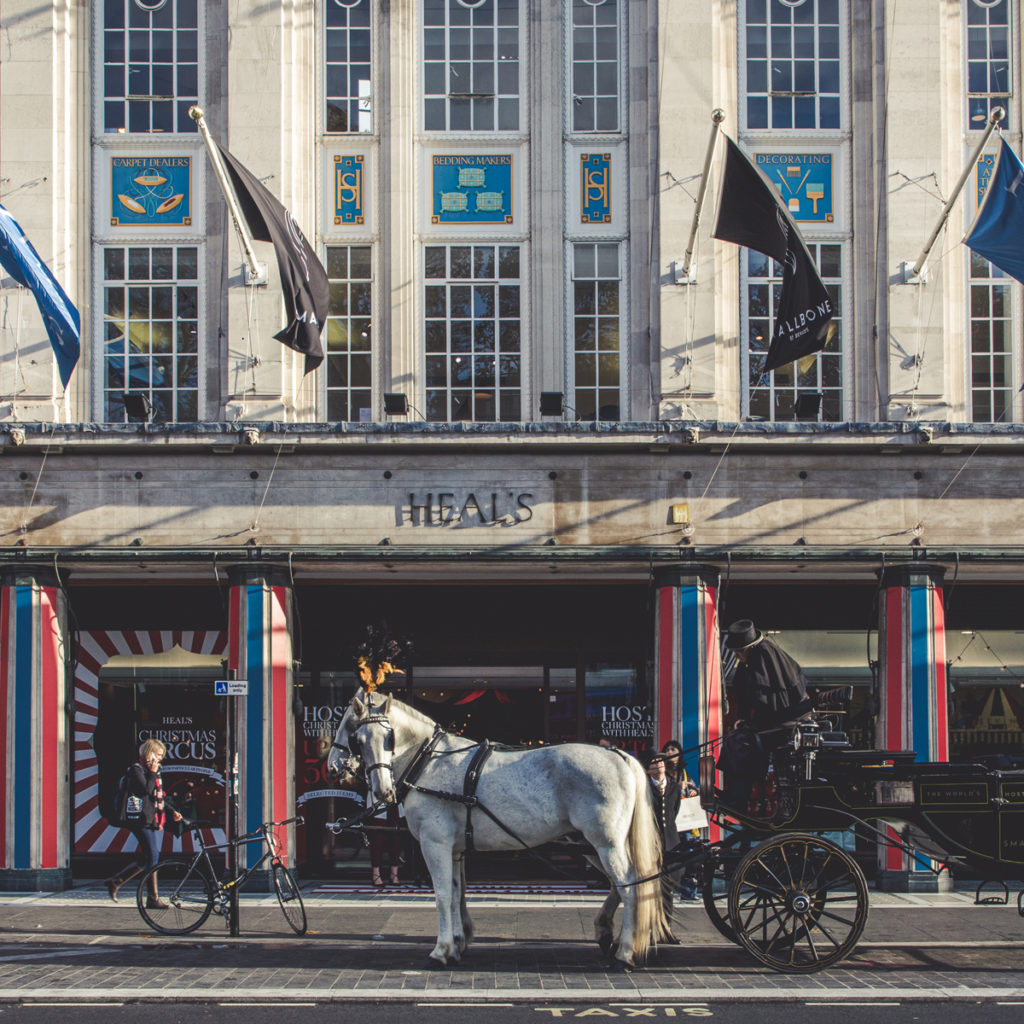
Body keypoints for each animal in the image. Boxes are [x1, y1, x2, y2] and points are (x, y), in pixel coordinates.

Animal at [327, 688, 671, 966]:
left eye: (389, 738)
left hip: (606, 843)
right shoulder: (454, 848)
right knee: (620, 885)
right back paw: (605, 932)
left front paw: (441, 951)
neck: (428, 761)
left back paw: (625, 952)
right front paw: (458, 943)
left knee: (630, 887)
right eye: (359, 738)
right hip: (591, 845)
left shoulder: (434, 843)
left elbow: (442, 895)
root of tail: (621, 755)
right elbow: (457, 893)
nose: (382, 790)